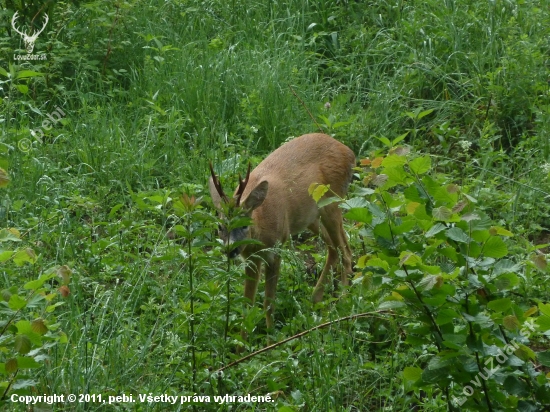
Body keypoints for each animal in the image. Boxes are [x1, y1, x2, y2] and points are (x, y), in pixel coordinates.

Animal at [209, 134, 356, 334]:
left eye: (244, 225)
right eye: (220, 226)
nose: (231, 249)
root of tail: (349, 152)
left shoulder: (275, 250)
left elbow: (268, 303)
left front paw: (271, 337)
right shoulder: (251, 258)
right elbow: (247, 304)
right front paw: (242, 342)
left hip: (332, 203)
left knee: (346, 251)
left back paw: (342, 303)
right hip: (311, 217)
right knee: (334, 249)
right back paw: (316, 299)